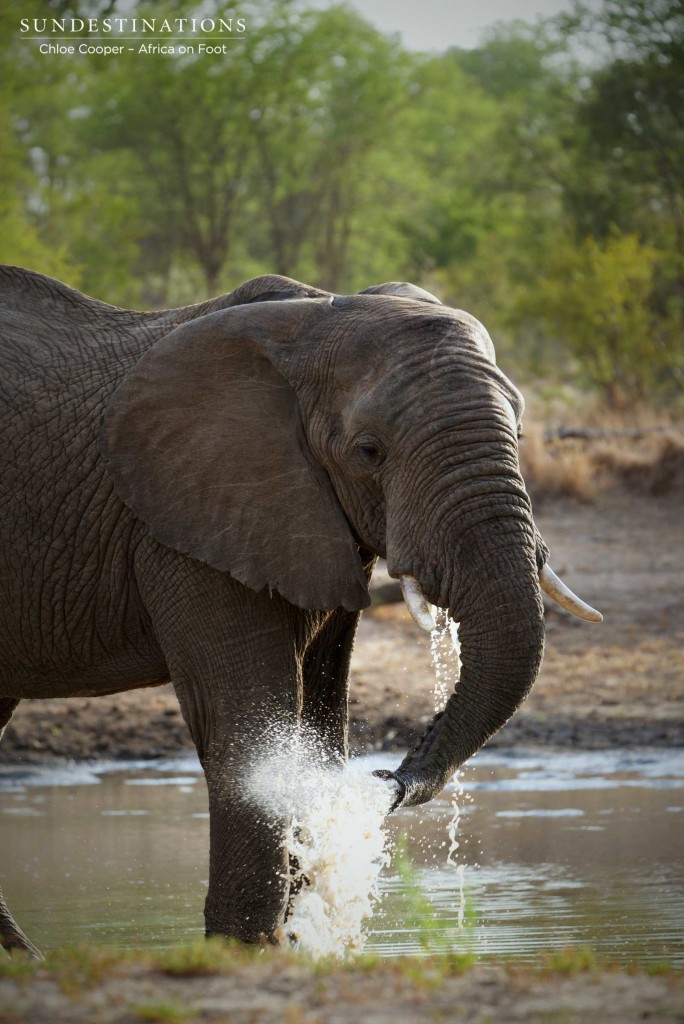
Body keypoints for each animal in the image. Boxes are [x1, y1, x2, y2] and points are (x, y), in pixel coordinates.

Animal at [0, 268, 602, 954]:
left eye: (519, 433)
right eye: (369, 451)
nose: (388, 781)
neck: (311, 321)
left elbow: (316, 723)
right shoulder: (190, 526)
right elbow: (247, 733)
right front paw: (243, 955)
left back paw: (26, 961)